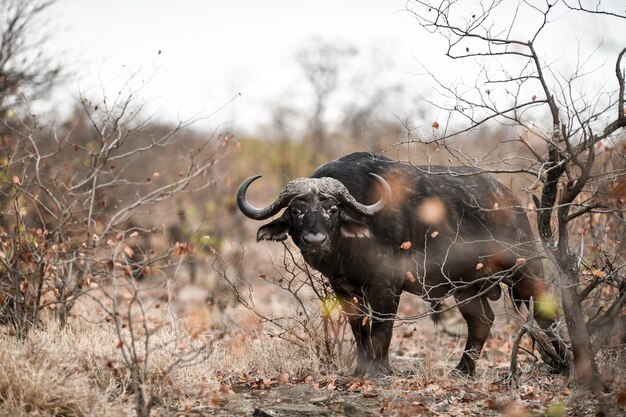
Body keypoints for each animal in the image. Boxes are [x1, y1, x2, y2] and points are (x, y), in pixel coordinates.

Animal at [235, 151, 564, 376]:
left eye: (332, 209)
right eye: (296, 211)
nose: (315, 239)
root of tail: (511, 202)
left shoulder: (386, 286)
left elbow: (382, 329)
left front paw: (381, 372)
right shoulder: (344, 289)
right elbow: (359, 328)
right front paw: (362, 370)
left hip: (525, 270)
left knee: (546, 312)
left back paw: (564, 364)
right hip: (467, 287)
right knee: (481, 320)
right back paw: (463, 371)